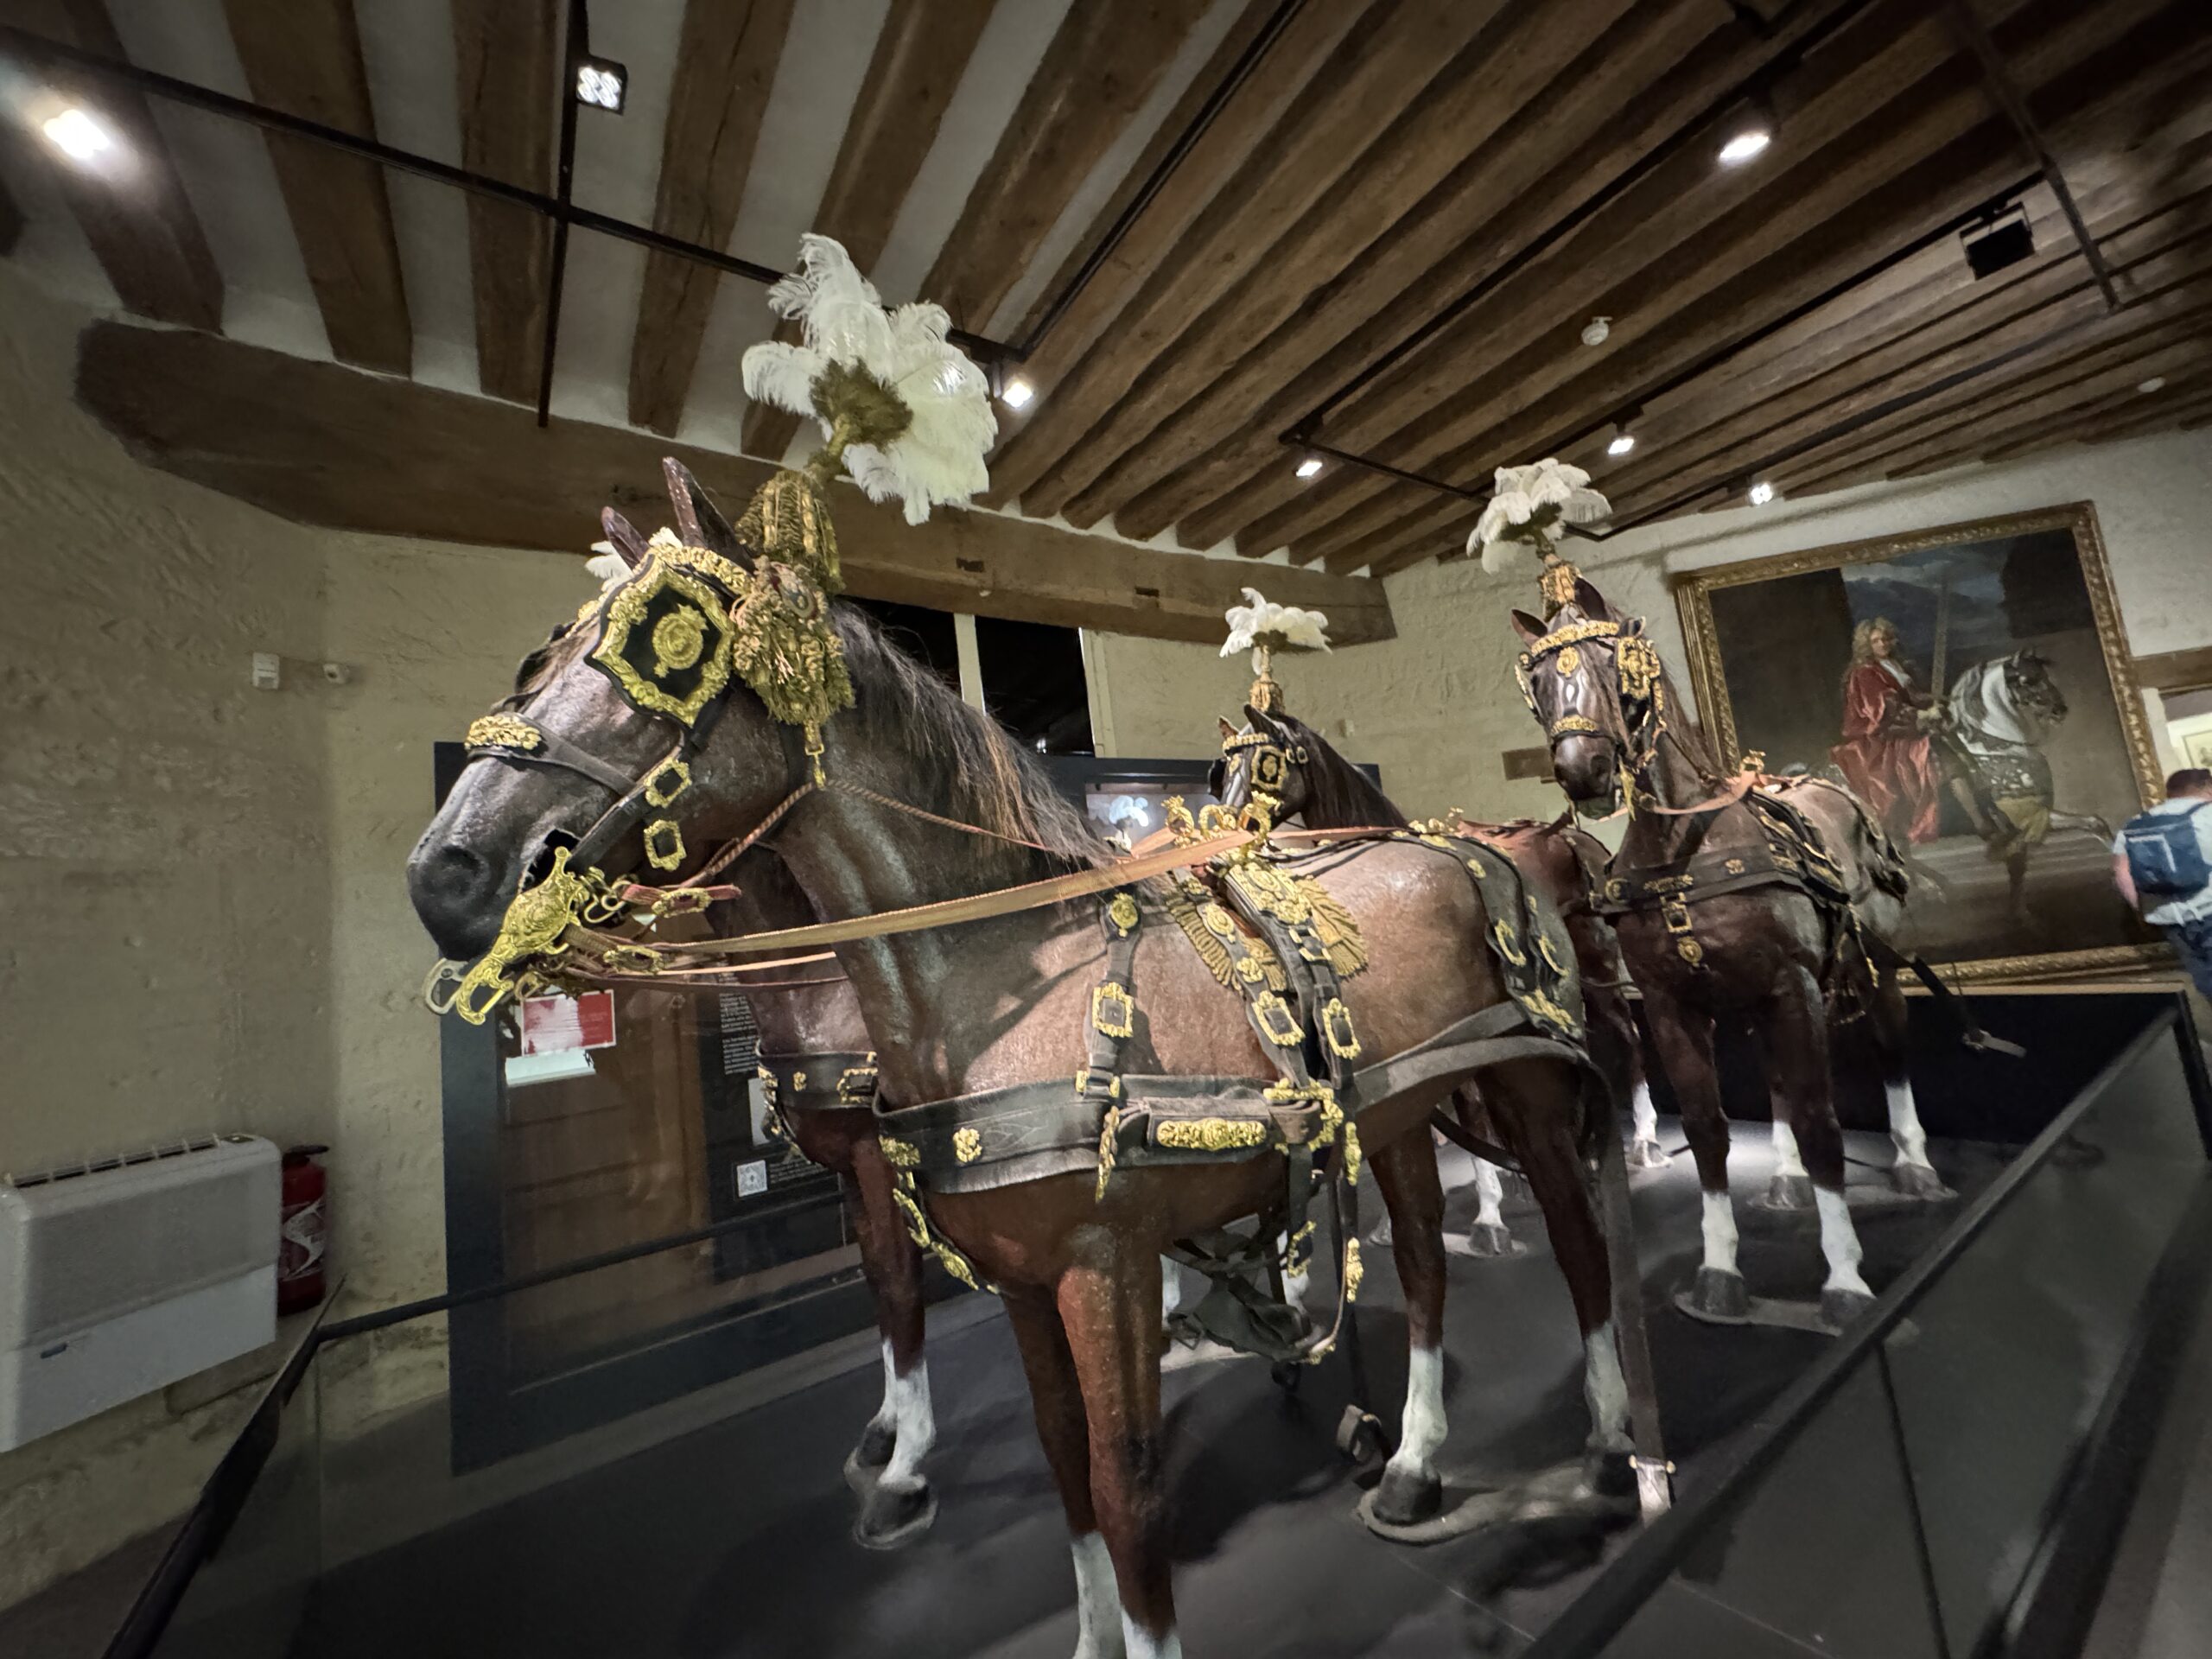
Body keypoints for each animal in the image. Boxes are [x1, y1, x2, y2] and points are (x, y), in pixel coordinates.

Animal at [409, 462, 1631, 1659]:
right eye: (546, 647)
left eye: (668, 639)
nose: (446, 870)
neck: (999, 981)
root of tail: (1467, 840)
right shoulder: (1017, 1276)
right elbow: (1057, 1453)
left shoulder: (1100, 1265)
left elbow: (1121, 1484)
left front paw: (909, 1470)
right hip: (1398, 1113)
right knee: (1420, 1261)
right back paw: (1413, 1459)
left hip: (1529, 1091)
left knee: (1579, 1250)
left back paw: (1616, 1449)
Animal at [1514, 576, 1949, 1331]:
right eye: (1537, 681)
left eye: (1609, 661)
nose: (1581, 771)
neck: (1687, 847)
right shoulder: (1673, 1004)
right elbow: (1709, 1129)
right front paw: (1720, 1268)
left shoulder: (1794, 985)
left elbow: (1820, 1122)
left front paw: (1845, 1279)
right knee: (1775, 1079)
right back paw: (1784, 1178)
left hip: (1878, 968)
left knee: (1891, 1048)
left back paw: (1913, 1162)